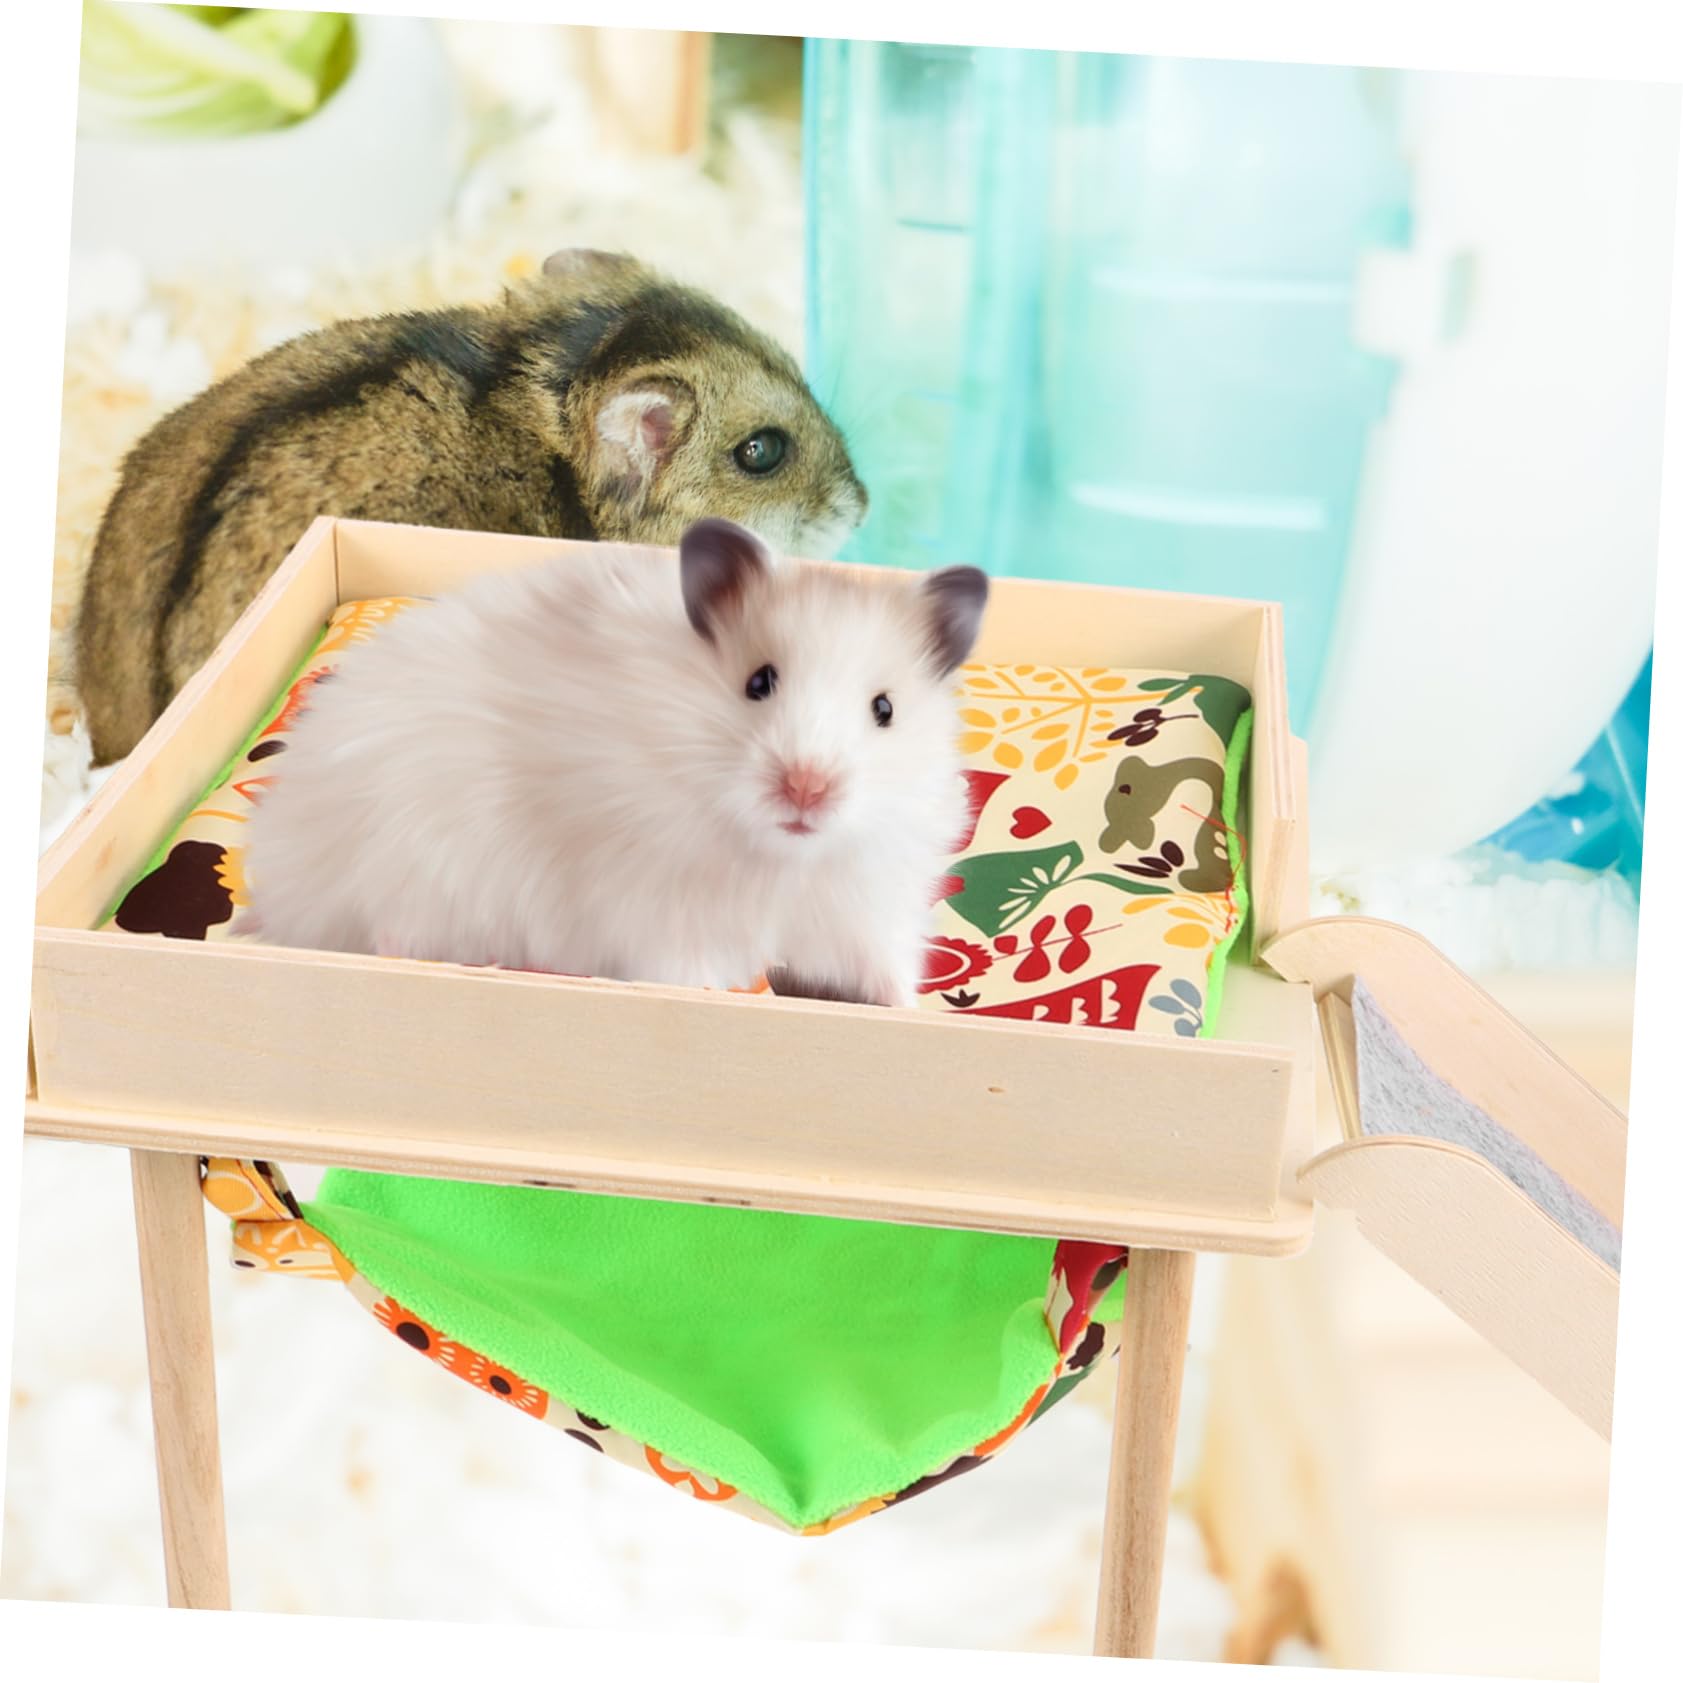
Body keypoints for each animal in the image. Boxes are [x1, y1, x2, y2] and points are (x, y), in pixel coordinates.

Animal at [237, 516, 988, 1010]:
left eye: (884, 709)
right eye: (758, 682)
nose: (807, 788)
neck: (779, 858)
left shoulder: (865, 907)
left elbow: (886, 972)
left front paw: (908, 1012)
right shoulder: (657, 912)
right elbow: (685, 975)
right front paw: (722, 993)